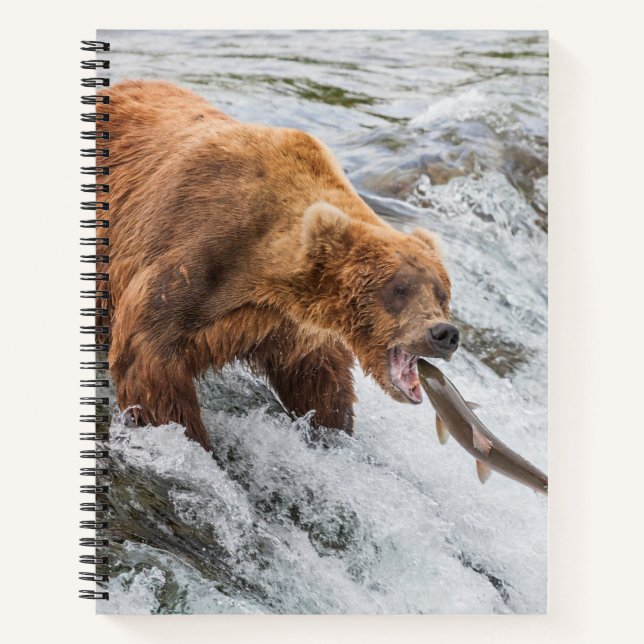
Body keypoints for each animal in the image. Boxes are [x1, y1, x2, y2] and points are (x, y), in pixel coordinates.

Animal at [95, 80, 459, 452]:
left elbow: (319, 378)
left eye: (441, 293)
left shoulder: (287, 325)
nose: (444, 333)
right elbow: (148, 360)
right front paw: (192, 440)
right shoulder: (192, 255)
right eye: (399, 289)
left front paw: (332, 429)